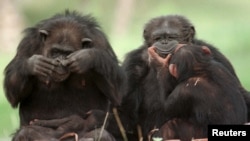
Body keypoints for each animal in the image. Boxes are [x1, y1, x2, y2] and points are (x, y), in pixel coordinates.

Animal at [3, 10, 125, 141]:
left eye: (67, 53)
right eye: (55, 51)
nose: (59, 61)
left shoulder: (100, 42)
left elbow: (116, 91)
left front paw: (87, 57)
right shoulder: (28, 43)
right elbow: (13, 92)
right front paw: (33, 64)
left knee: (102, 135)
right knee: (25, 133)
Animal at [121, 14, 250, 140]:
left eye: (171, 37)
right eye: (158, 38)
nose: (164, 43)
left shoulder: (216, 55)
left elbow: (241, 93)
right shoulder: (132, 63)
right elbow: (125, 112)